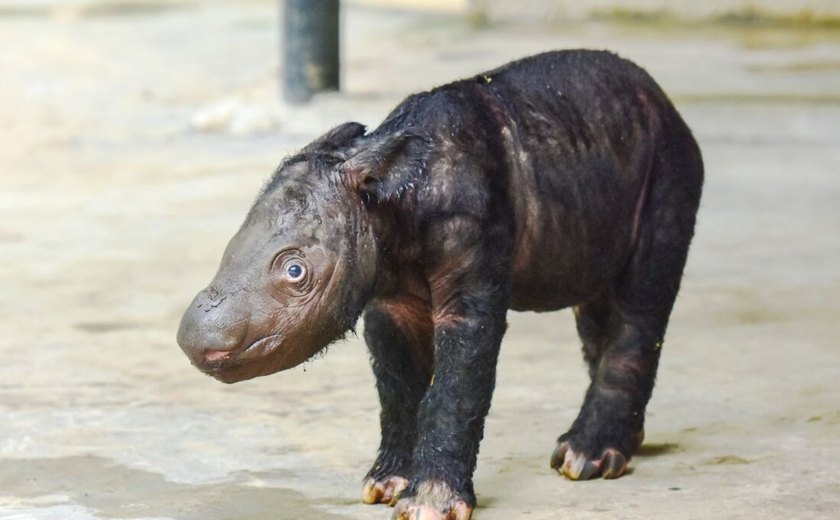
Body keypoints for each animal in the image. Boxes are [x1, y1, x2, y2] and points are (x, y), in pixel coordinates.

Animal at [176, 49, 704, 520]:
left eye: (295, 271)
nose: (195, 340)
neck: (388, 194)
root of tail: (666, 102)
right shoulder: (385, 294)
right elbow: (396, 383)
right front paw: (384, 484)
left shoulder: (474, 247)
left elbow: (457, 383)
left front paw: (428, 505)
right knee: (595, 305)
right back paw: (606, 448)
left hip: (670, 163)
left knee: (641, 298)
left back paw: (588, 459)